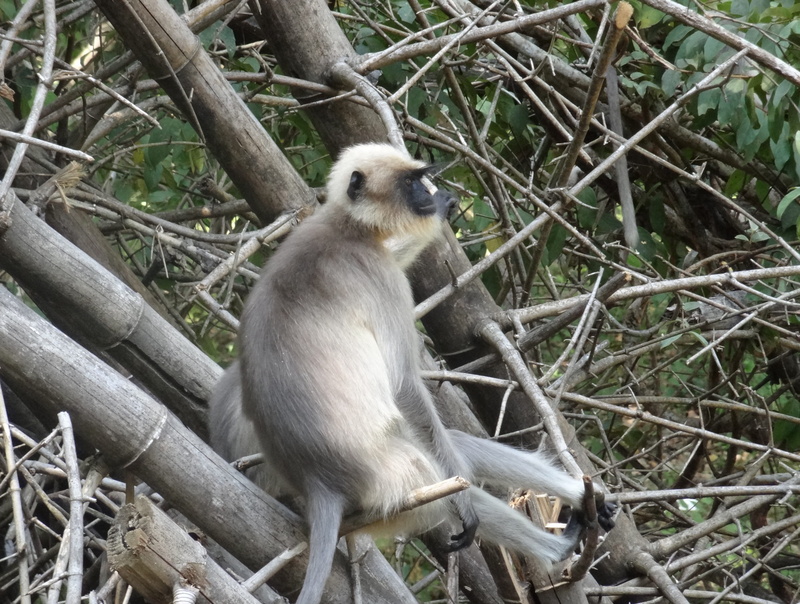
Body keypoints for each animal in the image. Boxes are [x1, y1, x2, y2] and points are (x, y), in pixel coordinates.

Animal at [209, 143, 615, 604]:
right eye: (409, 182)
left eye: (421, 178)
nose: (428, 192)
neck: (346, 228)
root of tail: (319, 484)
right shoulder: (377, 275)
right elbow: (404, 384)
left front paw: (443, 208)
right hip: (393, 480)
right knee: (448, 479)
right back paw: (558, 548)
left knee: (460, 448)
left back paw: (587, 500)